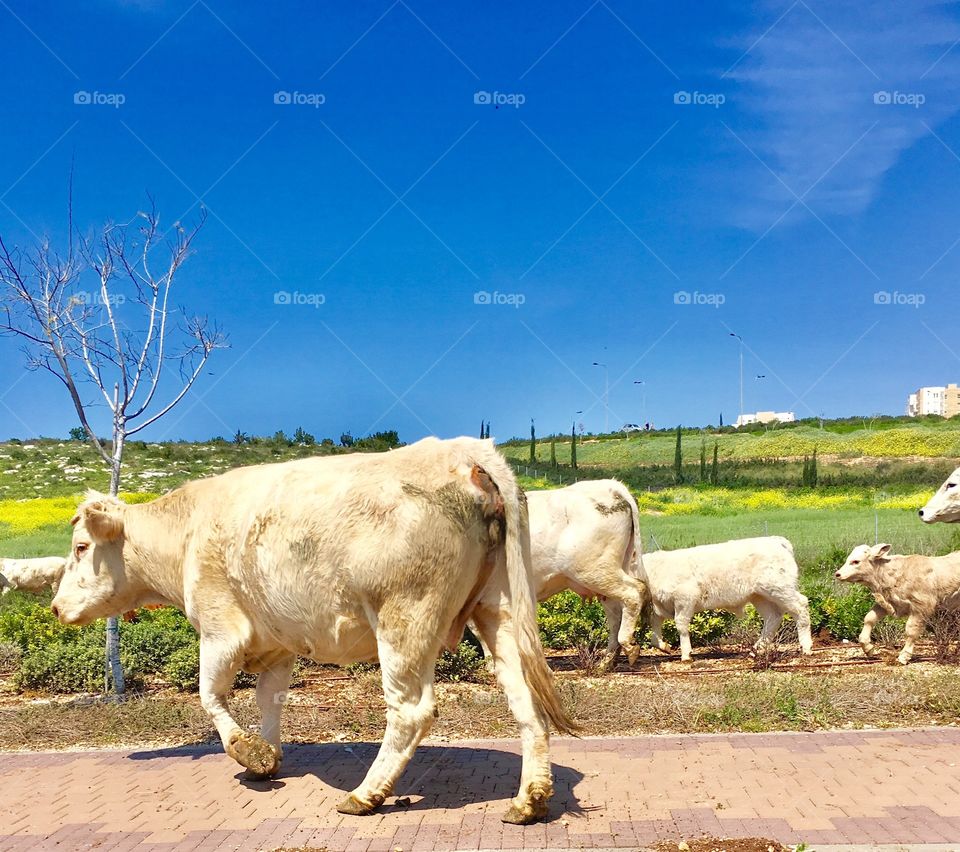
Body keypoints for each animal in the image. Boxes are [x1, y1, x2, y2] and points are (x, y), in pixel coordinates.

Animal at [51, 437, 575, 824]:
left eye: (81, 547)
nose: (55, 607)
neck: (186, 531)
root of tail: (464, 450)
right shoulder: (277, 644)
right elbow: (269, 700)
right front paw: (268, 755)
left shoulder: (221, 629)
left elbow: (209, 695)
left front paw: (248, 753)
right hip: (498, 611)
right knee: (526, 700)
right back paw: (529, 800)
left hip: (405, 617)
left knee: (410, 711)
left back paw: (366, 795)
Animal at [515, 480, 647, 669]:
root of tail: (609, 485)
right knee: (616, 613)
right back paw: (606, 663)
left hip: (594, 571)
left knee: (634, 592)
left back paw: (628, 647)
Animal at [640, 537, 813, 663]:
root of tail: (777, 541)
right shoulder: (658, 607)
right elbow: (655, 632)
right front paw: (665, 646)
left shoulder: (685, 599)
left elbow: (681, 625)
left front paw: (686, 654)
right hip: (760, 596)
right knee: (773, 617)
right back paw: (757, 649)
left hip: (779, 588)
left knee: (801, 606)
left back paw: (806, 646)